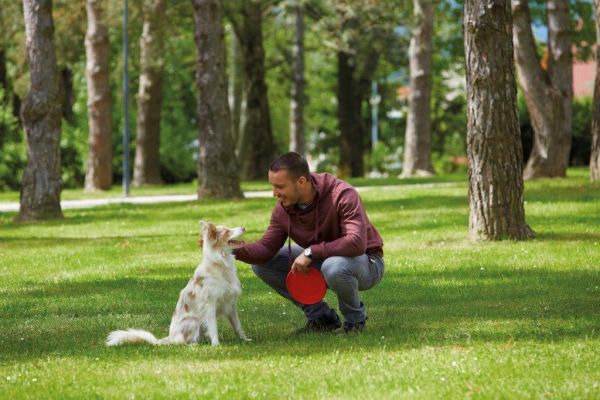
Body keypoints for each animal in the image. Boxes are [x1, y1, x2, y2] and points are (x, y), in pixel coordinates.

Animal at [106, 220, 250, 346]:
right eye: (227, 231)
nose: (244, 227)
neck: (220, 263)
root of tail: (168, 338)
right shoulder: (210, 305)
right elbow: (213, 328)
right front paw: (216, 345)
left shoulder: (230, 304)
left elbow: (238, 325)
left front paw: (244, 339)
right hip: (193, 321)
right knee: (181, 342)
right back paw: (193, 345)